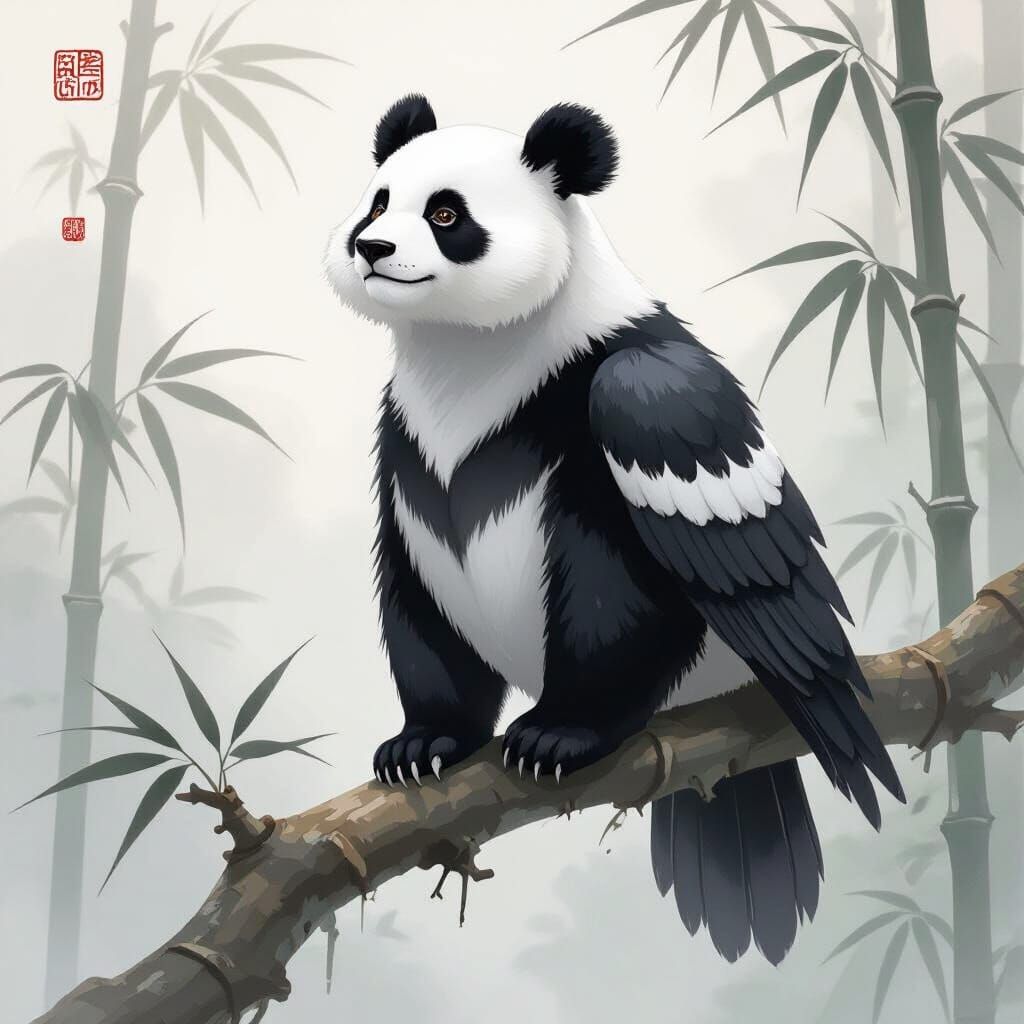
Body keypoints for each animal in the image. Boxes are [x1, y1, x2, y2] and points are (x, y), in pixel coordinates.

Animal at [325, 95, 904, 965]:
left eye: (446, 213)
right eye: (377, 201)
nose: (370, 248)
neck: (472, 355)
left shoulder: (611, 415)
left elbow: (615, 597)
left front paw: (559, 735)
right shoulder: (406, 446)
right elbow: (418, 598)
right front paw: (423, 744)